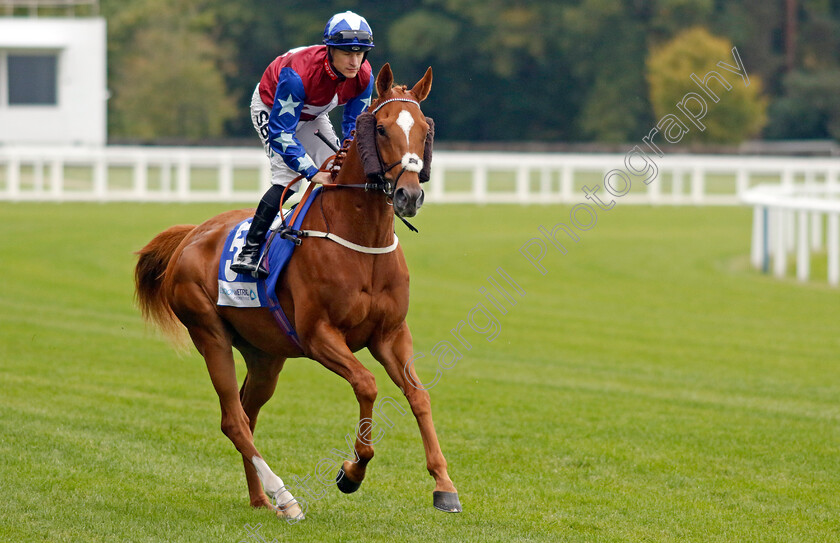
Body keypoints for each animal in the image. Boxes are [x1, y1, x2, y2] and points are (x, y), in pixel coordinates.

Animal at [133, 66, 460, 520]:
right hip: (209, 332)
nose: (408, 195)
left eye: (425, 130)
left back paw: (260, 498)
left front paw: (444, 485)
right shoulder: (318, 335)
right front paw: (351, 472)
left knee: (245, 413)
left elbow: (418, 395)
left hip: (265, 354)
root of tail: (191, 234)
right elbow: (367, 385)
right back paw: (284, 497)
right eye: (381, 127)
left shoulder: (391, 334)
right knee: (233, 419)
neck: (361, 243)